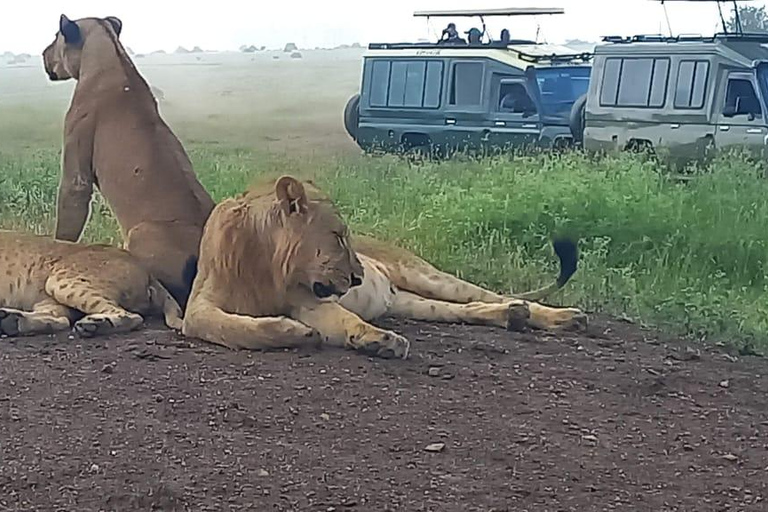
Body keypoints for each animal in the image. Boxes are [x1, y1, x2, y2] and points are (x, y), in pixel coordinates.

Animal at [0, 231, 182, 336]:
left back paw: (95, 325)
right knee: (60, 319)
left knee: (132, 316)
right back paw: (11, 320)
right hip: (50, 298)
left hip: (60, 282)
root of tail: (147, 271)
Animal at [182, 176, 588, 360]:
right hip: (414, 303)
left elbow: (347, 319)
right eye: (337, 236)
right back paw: (513, 316)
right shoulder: (198, 304)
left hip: (425, 275)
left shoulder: (309, 301)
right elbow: (223, 326)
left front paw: (381, 340)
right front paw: (291, 331)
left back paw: (562, 317)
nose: (359, 277)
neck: (268, 265)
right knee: (465, 309)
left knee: (484, 295)